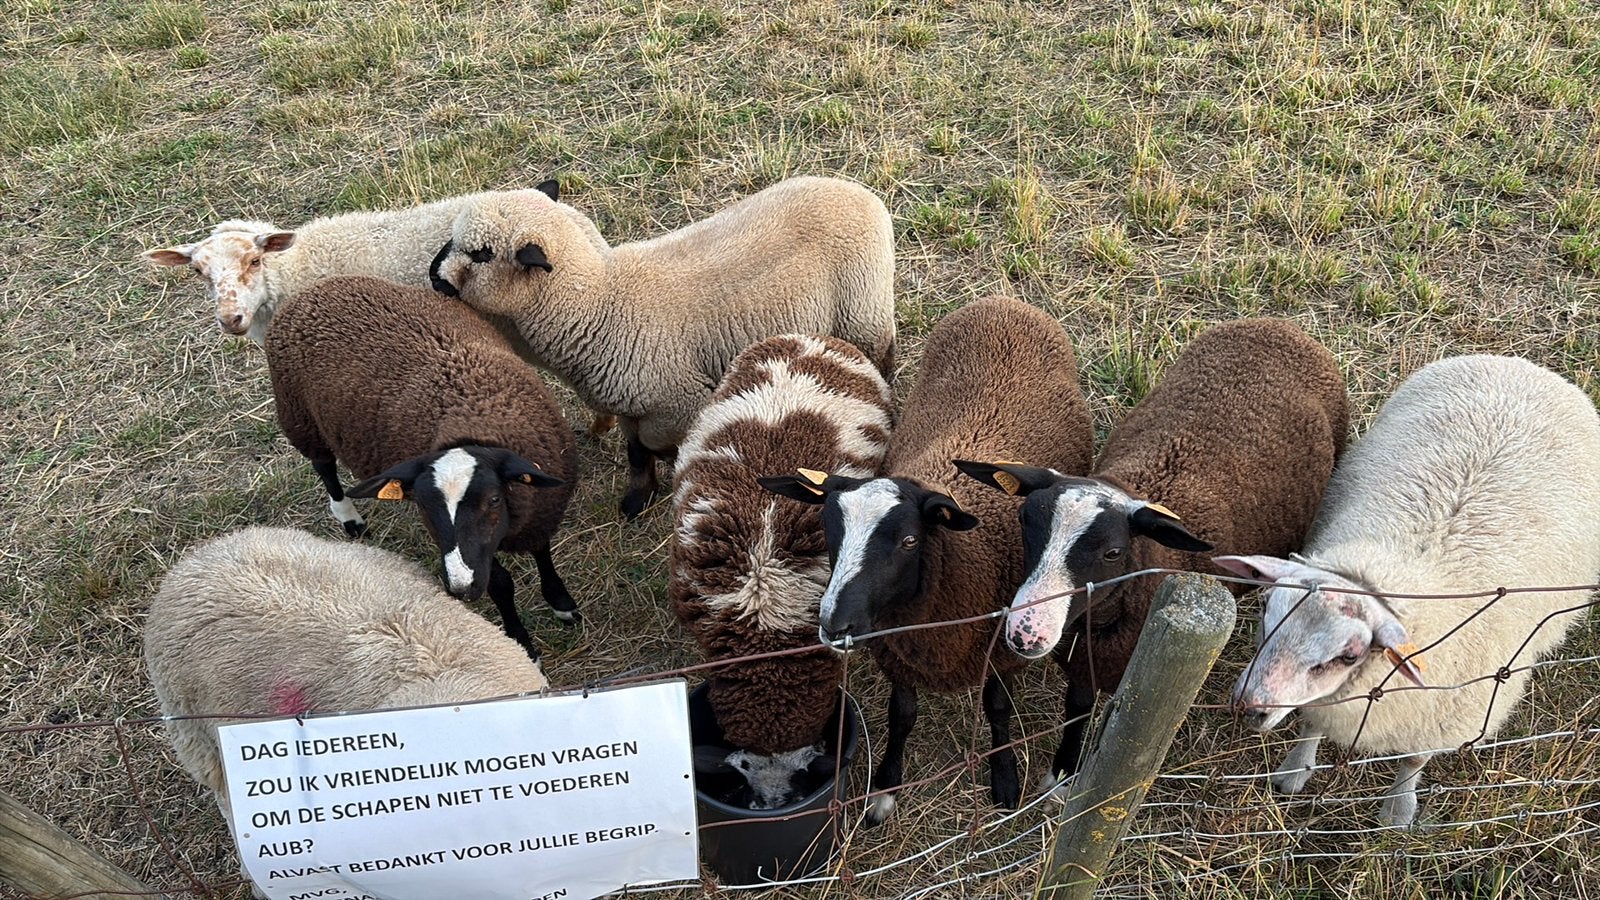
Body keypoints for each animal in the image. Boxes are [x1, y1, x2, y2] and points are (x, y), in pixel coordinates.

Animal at [265, 275, 578, 656]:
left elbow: (542, 551)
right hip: (300, 415)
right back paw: (348, 516)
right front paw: (522, 643)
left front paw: (562, 603)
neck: (471, 417)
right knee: (324, 467)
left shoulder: (539, 511)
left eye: (493, 500)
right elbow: (502, 585)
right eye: (424, 506)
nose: (460, 588)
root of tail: (312, 290)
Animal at [430, 175, 897, 519]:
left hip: (863, 308)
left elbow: (654, 442)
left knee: (882, 357)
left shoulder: (679, 398)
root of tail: (858, 191)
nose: (434, 276)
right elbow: (636, 452)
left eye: (483, 253)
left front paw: (672, 460)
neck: (599, 301)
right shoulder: (627, 399)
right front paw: (638, 498)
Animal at [760, 296, 1095, 824]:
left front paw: (1004, 778)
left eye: (909, 540)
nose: (834, 626)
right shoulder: (896, 653)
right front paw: (884, 788)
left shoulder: (1003, 648)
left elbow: (998, 708)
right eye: (830, 532)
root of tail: (1000, 299)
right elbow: (902, 715)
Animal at [959, 317, 1349, 786]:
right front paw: (1063, 771)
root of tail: (1280, 325)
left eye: (1112, 553)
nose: (1024, 634)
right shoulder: (1087, 660)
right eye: (1024, 522)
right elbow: (1077, 709)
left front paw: (1068, 774)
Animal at [1219, 354, 1600, 827]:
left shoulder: (1445, 712)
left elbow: (1413, 761)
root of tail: (1523, 366)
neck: (1388, 575)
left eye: (1348, 656)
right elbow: (1313, 724)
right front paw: (1295, 770)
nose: (1249, 708)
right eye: (1266, 610)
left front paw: (1397, 811)